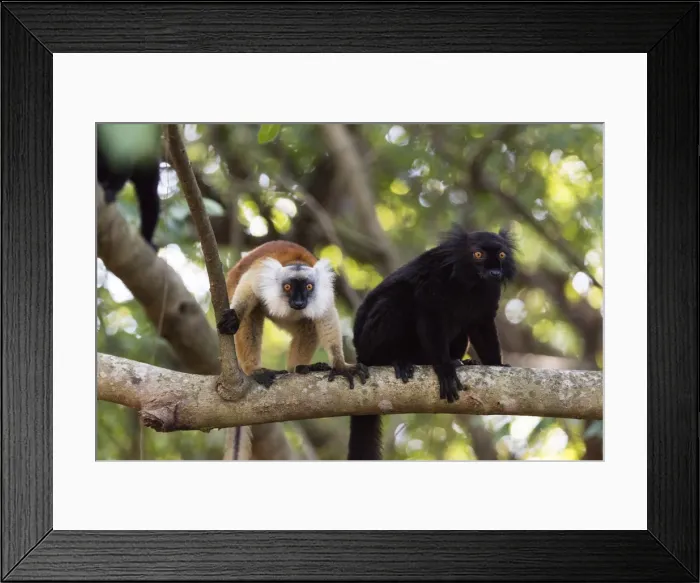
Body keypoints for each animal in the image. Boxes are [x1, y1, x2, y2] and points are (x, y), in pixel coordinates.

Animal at [347, 224, 517, 460]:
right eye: (478, 254)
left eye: (501, 255)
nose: (495, 272)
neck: (470, 283)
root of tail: (359, 353)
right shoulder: (435, 280)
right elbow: (430, 315)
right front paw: (445, 370)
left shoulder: (490, 292)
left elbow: (482, 326)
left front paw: (496, 365)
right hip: (369, 343)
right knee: (397, 296)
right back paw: (397, 360)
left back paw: (462, 361)